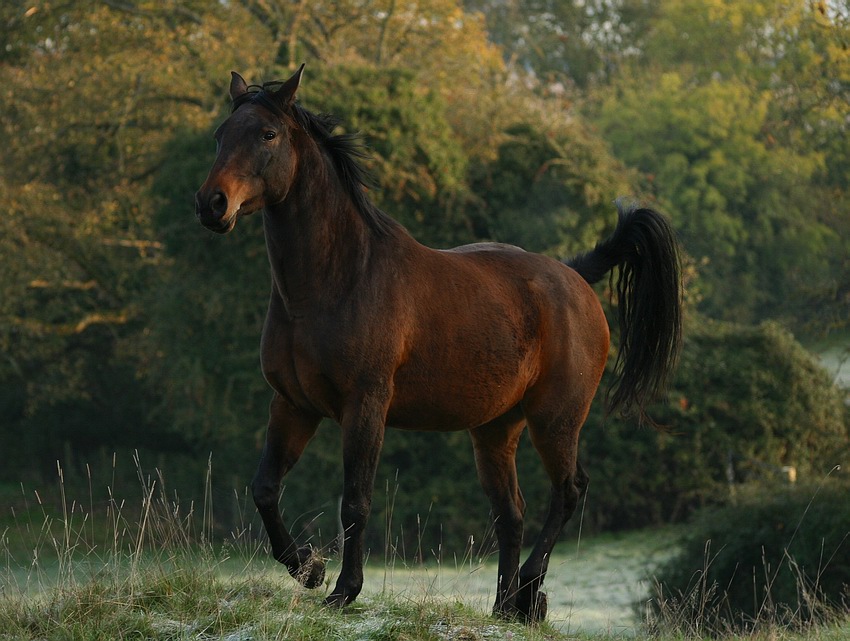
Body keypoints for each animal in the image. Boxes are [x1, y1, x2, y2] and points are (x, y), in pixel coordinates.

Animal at [194, 67, 684, 624]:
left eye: (268, 134)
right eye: (220, 135)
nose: (212, 204)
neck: (336, 279)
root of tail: (574, 276)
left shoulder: (365, 406)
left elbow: (355, 500)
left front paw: (343, 591)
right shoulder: (293, 404)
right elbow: (265, 489)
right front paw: (309, 568)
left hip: (556, 420)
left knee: (567, 492)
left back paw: (528, 592)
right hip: (495, 431)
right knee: (510, 514)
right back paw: (504, 606)